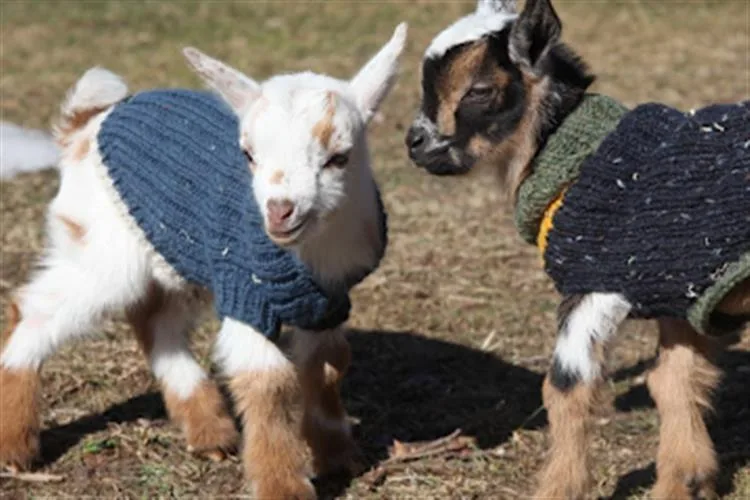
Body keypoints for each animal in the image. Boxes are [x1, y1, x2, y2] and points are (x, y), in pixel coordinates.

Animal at [0, 22, 407, 499]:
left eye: (339, 157)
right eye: (248, 153)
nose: (280, 211)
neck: (311, 252)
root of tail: (83, 129)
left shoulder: (326, 304)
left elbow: (327, 365)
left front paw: (339, 456)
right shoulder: (245, 293)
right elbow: (269, 381)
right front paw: (283, 485)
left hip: (174, 255)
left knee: (155, 322)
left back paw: (210, 432)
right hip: (101, 252)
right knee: (36, 309)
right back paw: (14, 447)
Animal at [405, 0, 749, 498]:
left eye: (479, 90)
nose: (415, 144)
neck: (572, 158)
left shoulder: (593, 284)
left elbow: (565, 386)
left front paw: (558, 487)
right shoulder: (677, 288)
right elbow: (674, 379)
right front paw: (684, 479)